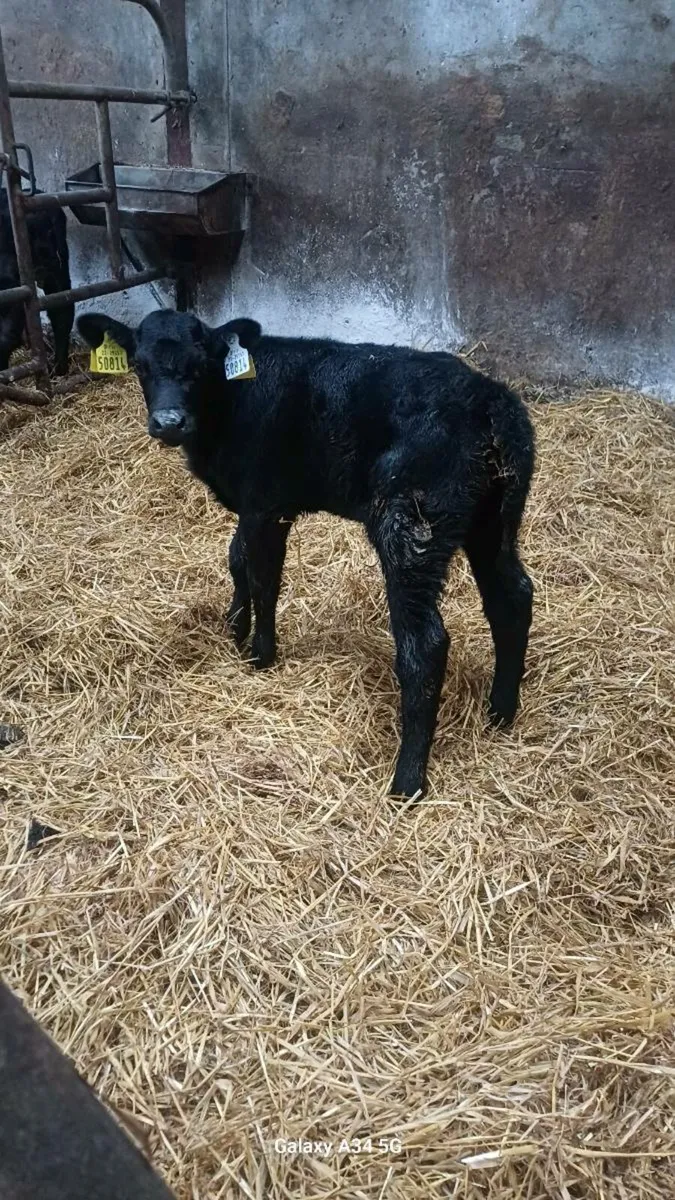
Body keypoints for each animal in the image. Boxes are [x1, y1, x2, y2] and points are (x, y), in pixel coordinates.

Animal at [78, 309, 535, 800]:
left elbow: (263, 576)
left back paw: (407, 781)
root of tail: (490, 398)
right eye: (140, 366)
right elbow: (236, 558)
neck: (230, 401)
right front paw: (234, 627)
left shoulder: (266, 504)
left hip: (412, 527)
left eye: (199, 367)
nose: (168, 422)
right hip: (493, 521)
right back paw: (500, 713)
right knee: (512, 597)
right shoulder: (252, 504)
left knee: (425, 644)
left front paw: (260, 654)